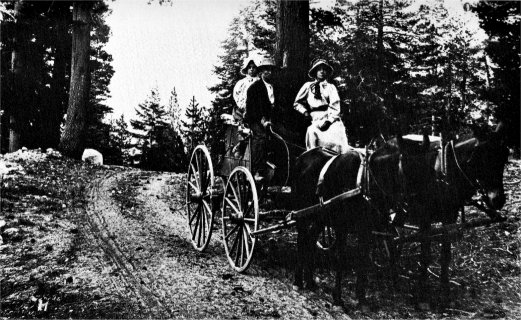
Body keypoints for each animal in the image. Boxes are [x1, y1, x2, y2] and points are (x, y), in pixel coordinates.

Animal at [290, 134, 432, 308]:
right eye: (408, 166)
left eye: (428, 166)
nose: (423, 206)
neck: (366, 181)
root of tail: (301, 158)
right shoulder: (342, 225)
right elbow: (341, 258)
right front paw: (338, 297)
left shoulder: (367, 228)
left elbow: (363, 258)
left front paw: (362, 298)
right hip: (301, 212)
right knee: (302, 240)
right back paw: (298, 280)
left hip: (320, 216)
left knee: (310, 240)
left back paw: (309, 281)